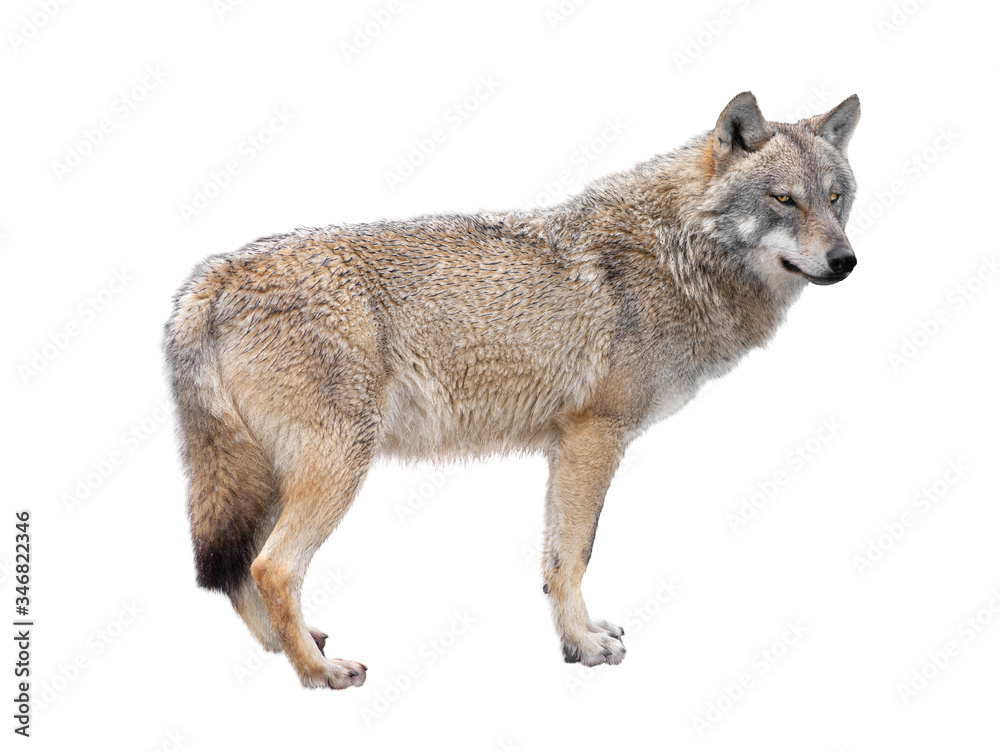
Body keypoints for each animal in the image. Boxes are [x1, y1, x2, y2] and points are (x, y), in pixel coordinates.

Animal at [164, 92, 860, 689]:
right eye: (783, 199)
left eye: (835, 198)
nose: (846, 261)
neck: (679, 256)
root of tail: (212, 278)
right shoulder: (595, 438)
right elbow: (575, 555)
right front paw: (583, 648)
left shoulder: (566, 447)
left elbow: (557, 558)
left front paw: (578, 637)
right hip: (335, 467)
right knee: (270, 568)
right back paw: (317, 673)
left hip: (276, 475)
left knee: (243, 569)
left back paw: (293, 649)